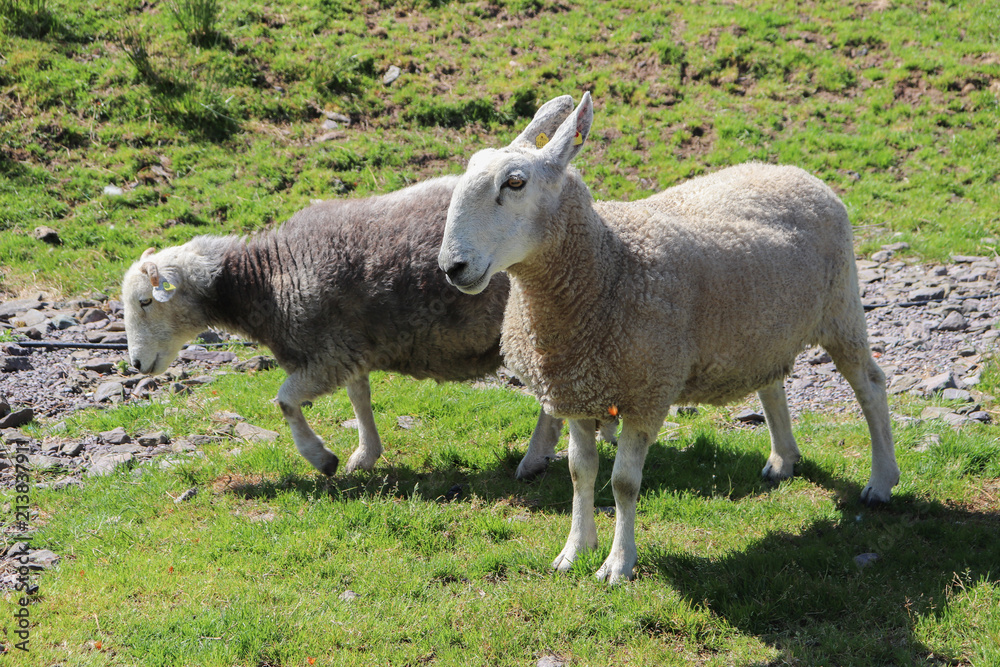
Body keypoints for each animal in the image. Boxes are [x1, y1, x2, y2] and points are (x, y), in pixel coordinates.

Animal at [121, 176, 571, 478]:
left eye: (146, 302)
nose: (137, 365)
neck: (265, 280)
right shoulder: (351, 348)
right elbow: (360, 400)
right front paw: (364, 455)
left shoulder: (328, 354)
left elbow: (286, 401)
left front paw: (322, 458)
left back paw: (534, 460)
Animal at [437, 92, 900, 584]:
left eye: (515, 182)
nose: (452, 267)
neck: (608, 264)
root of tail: (795, 171)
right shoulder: (577, 389)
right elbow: (581, 472)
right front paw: (575, 550)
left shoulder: (648, 390)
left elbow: (623, 483)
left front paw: (618, 564)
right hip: (759, 328)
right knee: (771, 384)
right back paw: (783, 460)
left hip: (841, 308)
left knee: (871, 386)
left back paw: (881, 482)